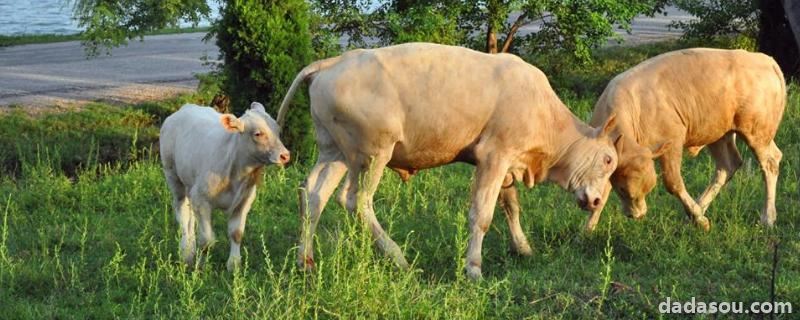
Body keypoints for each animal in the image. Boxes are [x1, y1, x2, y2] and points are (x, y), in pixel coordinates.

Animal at [160, 102, 290, 270]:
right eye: (257, 134)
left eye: (277, 130)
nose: (285, 155)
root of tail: (186, 107)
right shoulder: (201, 199)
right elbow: (207, 240)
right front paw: (201, 266)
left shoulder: (244, 201)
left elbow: (236, 233)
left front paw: (234, 265)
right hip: (173, 176)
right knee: (182, 213)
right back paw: (186, 253)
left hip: (190, 184)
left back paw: (190, 248)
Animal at [278, 43, 620, 280]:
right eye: (607, 160)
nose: (596, 200)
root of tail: (335, 61)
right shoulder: (494, 156)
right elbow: (482, 215)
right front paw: (473, 269)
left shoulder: (507, 163)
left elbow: (510, 205)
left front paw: (522, 248)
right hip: (373, 153)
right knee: (355, 199)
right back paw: (399, 258)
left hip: (334, 151)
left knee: (313, 195)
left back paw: (305, 261)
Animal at [588, 47, 788, 231]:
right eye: (620, 188)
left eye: (625, 188)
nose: (634, 214)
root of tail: (765, 60)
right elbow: (602, 192)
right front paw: (588, 229)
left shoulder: (672, 142)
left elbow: (673, 183)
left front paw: (701, 220)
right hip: (719, 134)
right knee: (727, 165)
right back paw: (695, 212)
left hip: (757, 132)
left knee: (770, 162)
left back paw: (767, 218)